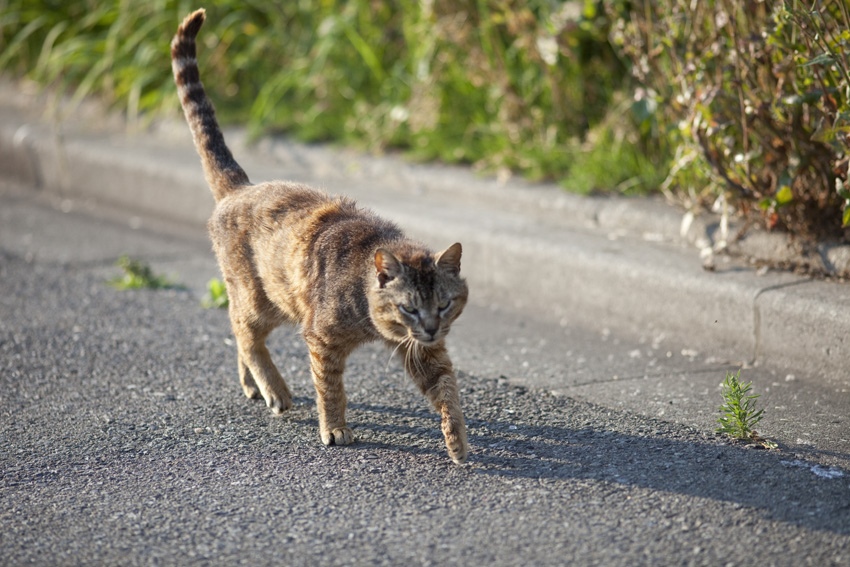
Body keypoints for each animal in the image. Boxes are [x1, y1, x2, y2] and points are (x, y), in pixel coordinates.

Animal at [169, 10, 468, 466]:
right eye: (409, 308)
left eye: (445, 303)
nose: (434, 328)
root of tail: (241, 186)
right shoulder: (322, 340)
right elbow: (331, 389)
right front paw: (335, 428)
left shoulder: (423, 351)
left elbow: (447, 389)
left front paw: (457, 439)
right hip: (262, 300)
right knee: (243, 331)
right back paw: (274, 388)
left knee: (238, 331)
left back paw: (252, 385)